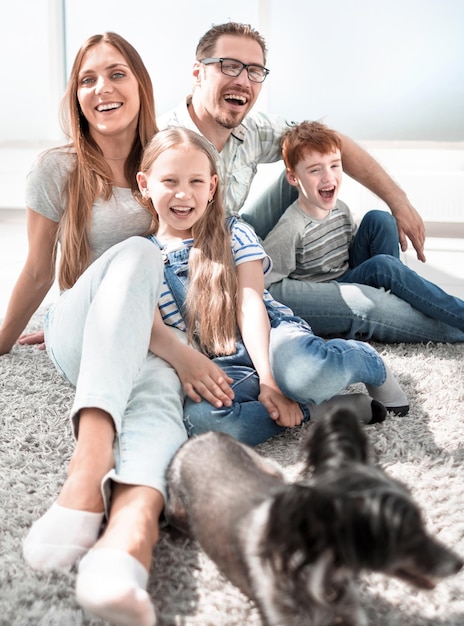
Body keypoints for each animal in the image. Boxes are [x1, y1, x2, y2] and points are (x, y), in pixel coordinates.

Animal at [165, 408, 462, 620]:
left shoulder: (350, 610)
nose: (459, 563)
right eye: (403, 534)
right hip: (178, 513)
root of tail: (199, 438)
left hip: (271, 467)